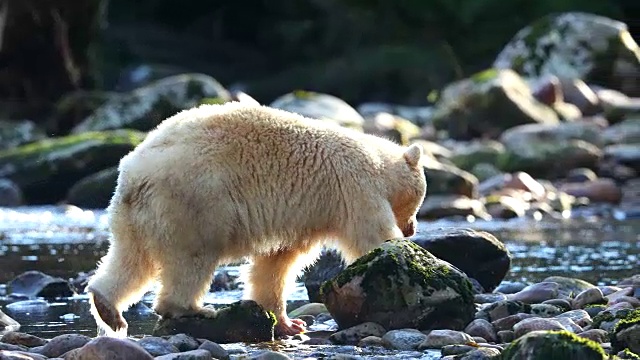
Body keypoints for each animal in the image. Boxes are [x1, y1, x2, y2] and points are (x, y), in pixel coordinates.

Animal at [84, 101, 424, 338]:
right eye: (419, 199)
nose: (411, 229)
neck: (378, 163)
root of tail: (135, 173)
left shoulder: (298, 218)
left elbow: (276, 263)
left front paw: (288, 323)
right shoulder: (354, 187)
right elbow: (370, 235)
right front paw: (398, 250)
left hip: (134, 214)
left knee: (132, 257)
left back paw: (107, 306)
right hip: (192, 201)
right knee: (191, 257)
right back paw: (192, 309)